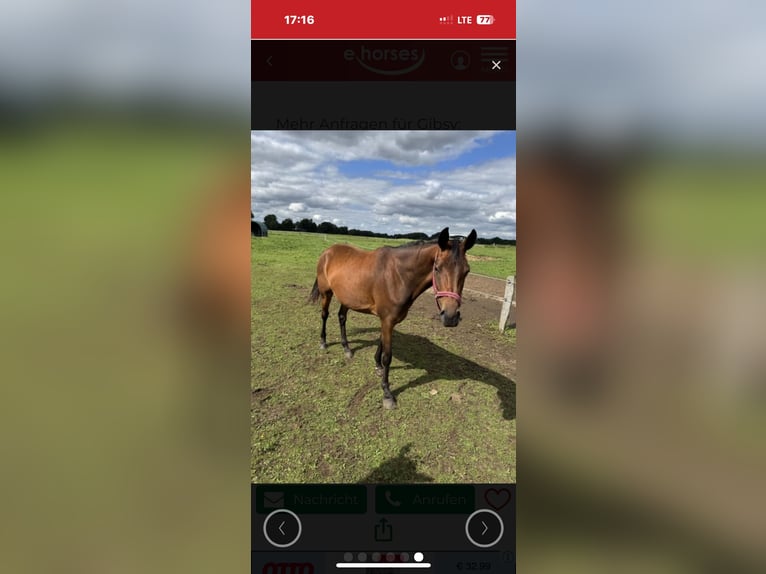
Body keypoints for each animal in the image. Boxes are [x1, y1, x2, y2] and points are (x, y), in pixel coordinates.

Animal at [309, 227, 477, 409]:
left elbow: (381, 343)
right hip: (326, 293)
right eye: (437, 268)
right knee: (325, 315)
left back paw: (347, 349)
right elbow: (387, 356)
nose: (451, 317)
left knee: (341, 317)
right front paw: (387, 394)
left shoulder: (388, 320)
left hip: (347, 297)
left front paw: (377, 366)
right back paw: (323, 342)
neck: (398, 276)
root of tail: (328, 252)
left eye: (467, 271)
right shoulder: (387, 320)